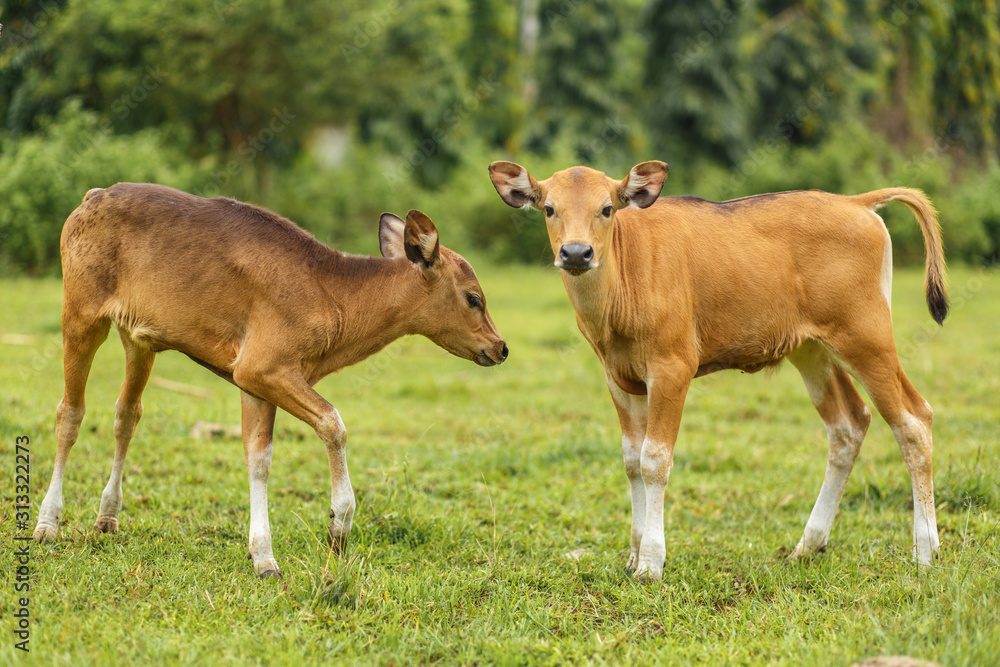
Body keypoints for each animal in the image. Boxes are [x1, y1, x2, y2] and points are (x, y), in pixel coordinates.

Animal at [32, 184, 508, 580]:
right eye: (474, 298)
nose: (501, 347)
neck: (335, 297)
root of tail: (92, 197)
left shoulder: (254, 379)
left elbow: (259, 457)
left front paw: (263, 556)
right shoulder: (262, 367)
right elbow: (333, 423)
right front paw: (338, 526)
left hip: (138, 338)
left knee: (126, 414)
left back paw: (107, 516)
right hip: (80, 313)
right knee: (70, 412)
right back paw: (47, 522)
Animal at [490, 160, 944, 580]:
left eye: (606, 208)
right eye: (549, 208)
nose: (576, 253)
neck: (624, 286)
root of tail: (856, 203)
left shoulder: (673, 369)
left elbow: (655, 459)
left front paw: (651, 562)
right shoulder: (620, 380)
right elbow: (632, 460)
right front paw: (633, 555)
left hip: (867, 337)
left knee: (914, 420)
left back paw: (925, 552)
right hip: (812, 349)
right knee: (849, 425)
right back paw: (807, 545)